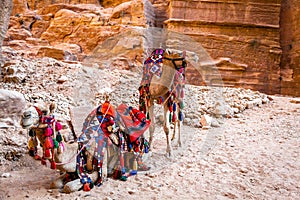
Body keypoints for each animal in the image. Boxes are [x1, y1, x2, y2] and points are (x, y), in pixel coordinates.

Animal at [21, 101, 151, 193]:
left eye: (44, 111)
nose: (24, 115)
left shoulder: (100, 170)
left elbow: (69, 187)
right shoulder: (73, 170)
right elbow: (55, 183)